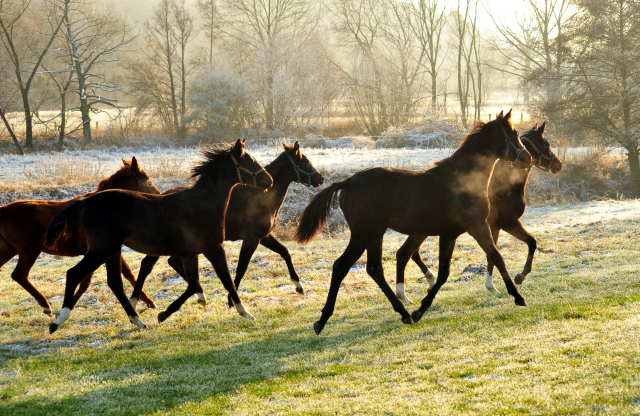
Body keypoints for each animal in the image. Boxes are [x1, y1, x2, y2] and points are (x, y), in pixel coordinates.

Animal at [0, 158, 159, 316]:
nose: (158, 194)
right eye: (148, 181)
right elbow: (122, 274)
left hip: (9, 250)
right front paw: (149, 301)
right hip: (29, 250)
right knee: (19, 275)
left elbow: (97, 280)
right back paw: (45, 305)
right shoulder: (104, 250)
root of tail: (3, 210)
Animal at [45, 141, 272, 334]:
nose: (268, 181)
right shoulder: (214, 248)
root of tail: (86, 201)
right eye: (249, 161)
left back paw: (137, 320)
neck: (202, 203)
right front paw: (245, 312)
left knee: (115, 283)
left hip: (112, 251)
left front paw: (164, 313)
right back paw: (58, 321)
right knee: (74, 274)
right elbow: (226, 280)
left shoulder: (190, 253)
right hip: (101, 250)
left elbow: (193, 284)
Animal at [128, 141, 324, 310]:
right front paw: (231, 299)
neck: (260, 196)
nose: (320, 178)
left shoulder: (264, 237)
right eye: (305, 161)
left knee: (169, 262)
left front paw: (299, 286)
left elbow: (285, 252)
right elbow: (241, 268)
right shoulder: (252, 239)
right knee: (147, 266)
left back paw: (198, 294)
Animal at [294, 109, 528, 334]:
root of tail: (348, 182)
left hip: (375, 235)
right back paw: (322, 320)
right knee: (341, 266)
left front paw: (419, 310)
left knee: (375, 269)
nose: (527, 157)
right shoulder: (477, 226)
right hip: (363, 234)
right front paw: (518, 296)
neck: (464, 180)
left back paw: (404, 313)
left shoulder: (450, 234)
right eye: (514, 133)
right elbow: (496, 257)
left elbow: (444, 273)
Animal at [396, 121, 564, 302]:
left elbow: (492, 254)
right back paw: (410, 292)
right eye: (546, 143)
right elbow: (531, 242)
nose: (558, 164)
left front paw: (491, 286)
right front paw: (519, 277)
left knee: (412, 253)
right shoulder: (509, 223)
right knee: (406, 253)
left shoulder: (493, 227)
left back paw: (428, 282)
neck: (506, 185)